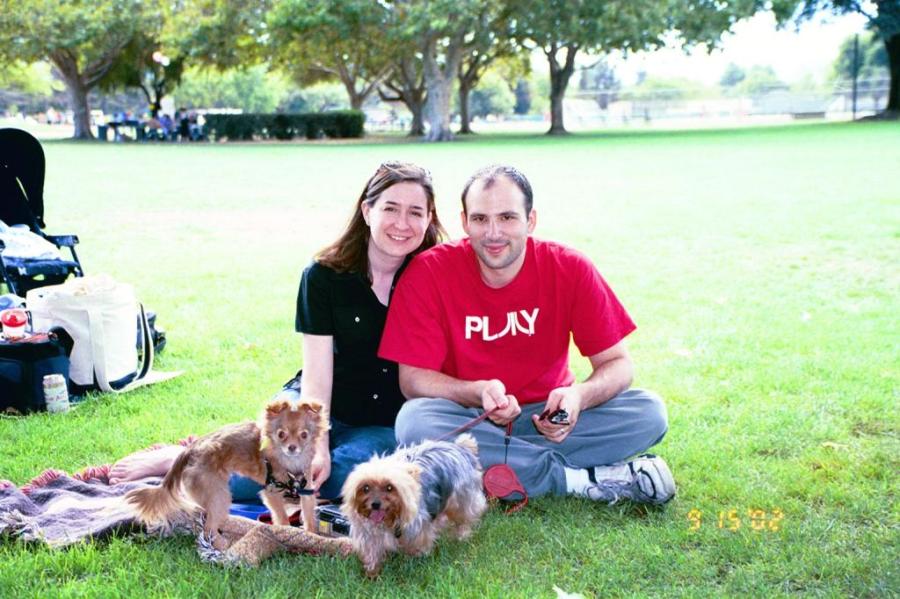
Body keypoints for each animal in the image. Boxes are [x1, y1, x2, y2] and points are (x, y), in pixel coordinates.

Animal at [125, 398, 328, 549]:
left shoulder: (307, 489)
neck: (292, 464)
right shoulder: (271, 492)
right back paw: (223, 547)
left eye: (304, 435)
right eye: (281, 434)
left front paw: (313, 534)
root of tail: (191, 449)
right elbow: (282, 517)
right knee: (208, 529)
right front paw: (288, 532)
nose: (292, 447)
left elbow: (308, 515)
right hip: (219, 495)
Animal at [341, 433, 487, 577]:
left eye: (389, 488)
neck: (389, 520)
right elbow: (372, 553)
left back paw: (462, 535)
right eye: (366, 488)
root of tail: (462, 448)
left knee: (464, 518)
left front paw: (414, 560)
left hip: (462, 499)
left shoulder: (417, 529)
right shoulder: (369, 535)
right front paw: (372, 572)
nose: (375, 504)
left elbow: (418, 545)